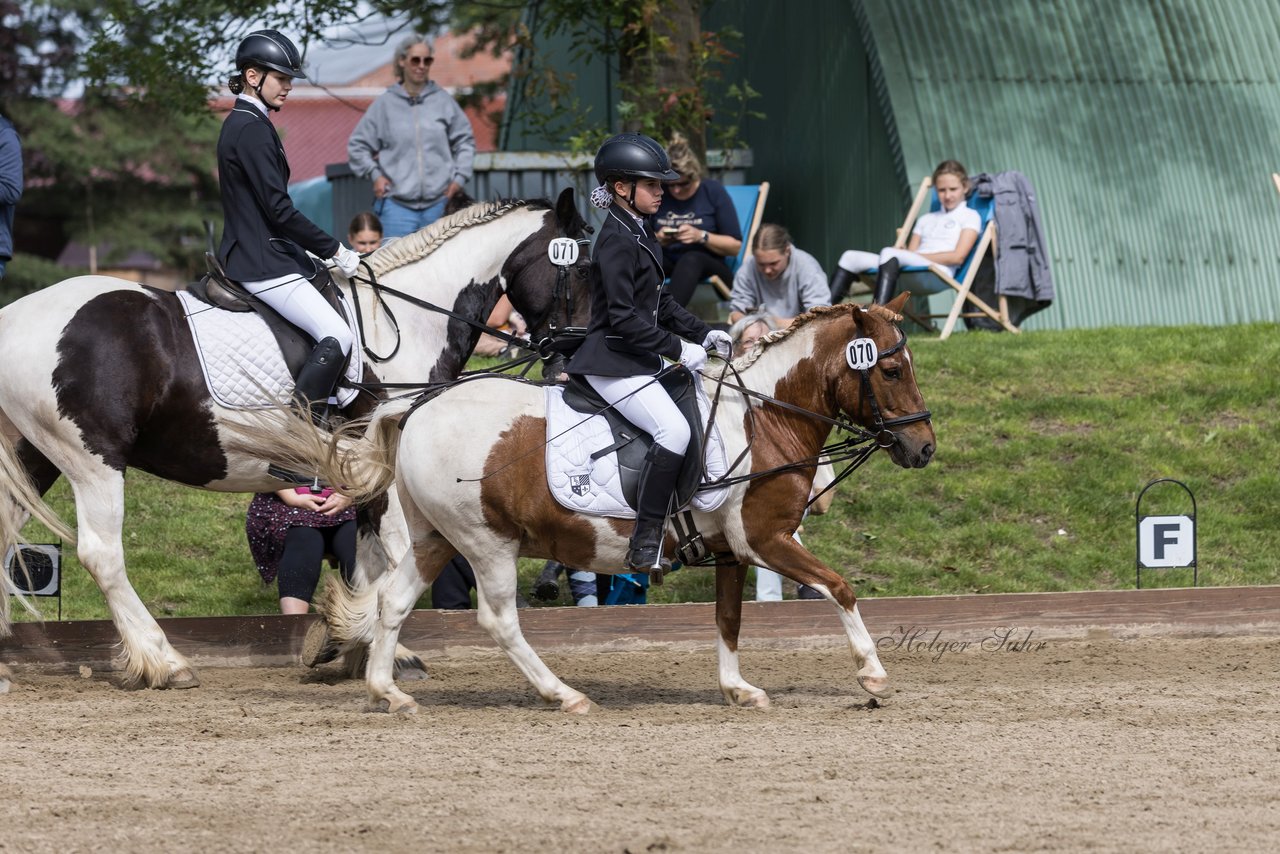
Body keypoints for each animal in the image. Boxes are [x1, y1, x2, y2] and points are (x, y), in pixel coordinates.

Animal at [0, 190, 588, 691]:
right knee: (102, 555)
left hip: (35, 457)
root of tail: (13, 315)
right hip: (93, 459)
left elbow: (370, 559)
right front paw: (383, 649)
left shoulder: (363, 475)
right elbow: (400, 554)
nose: (573, 362)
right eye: (583, 268)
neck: (407, 322)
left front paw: (349, 639)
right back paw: (164, 661)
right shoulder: (385, 467)